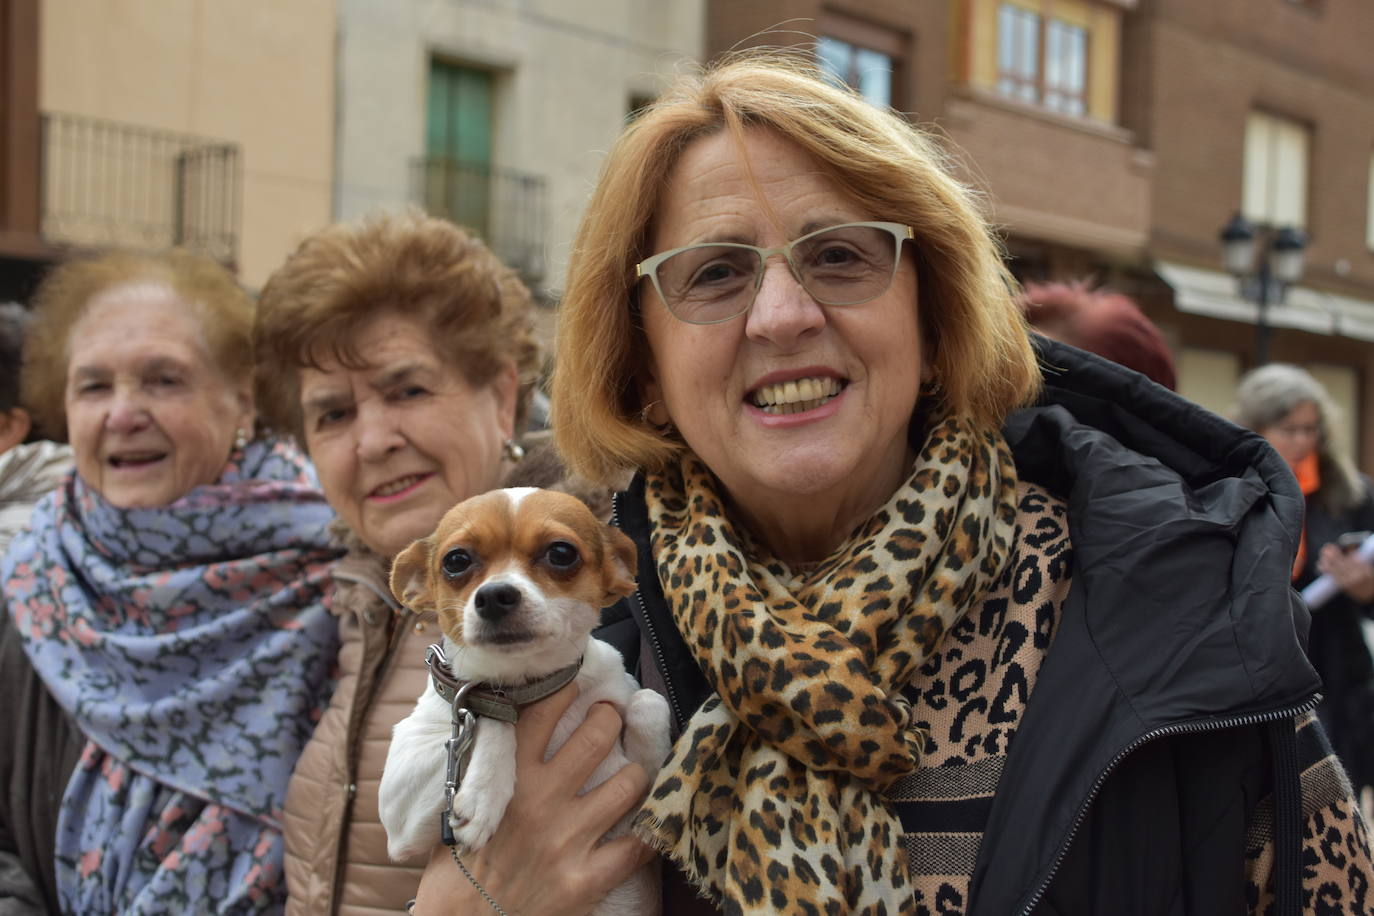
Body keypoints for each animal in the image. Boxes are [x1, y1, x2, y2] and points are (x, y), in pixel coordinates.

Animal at [381, 486, 670, 911]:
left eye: (561, 553)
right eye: (456, 561)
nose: (494, 595)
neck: (525, 682)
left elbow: (649, 701)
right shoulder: (399, 811)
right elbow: (490, 712)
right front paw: (484, 793)